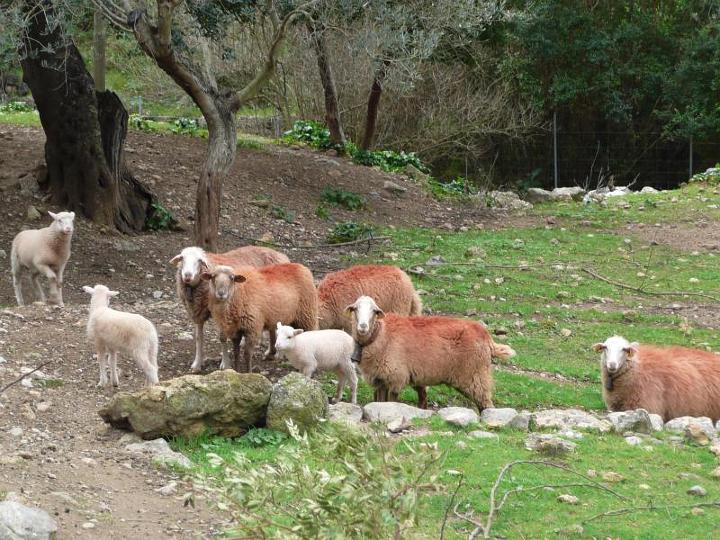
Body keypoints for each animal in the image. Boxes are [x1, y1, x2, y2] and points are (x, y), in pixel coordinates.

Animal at [346, 295, 515, 410]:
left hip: (476, 376)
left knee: (486, 404)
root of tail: (487, 337)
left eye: (374, 311)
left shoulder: (396, 377)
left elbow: (391, 401)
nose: (363, 326)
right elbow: (380, 402)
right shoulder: (380, 379)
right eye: (355, 309)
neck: (380, 335)